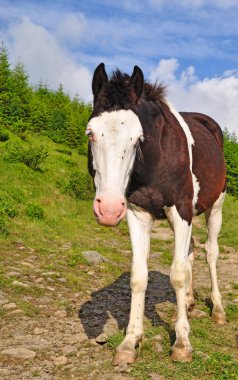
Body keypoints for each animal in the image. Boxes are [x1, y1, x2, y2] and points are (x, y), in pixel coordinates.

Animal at [86, 63, 227, 366]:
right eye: (90, 133)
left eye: (138, 138)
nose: (109, 208)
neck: (157, 158)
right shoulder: (138, 214)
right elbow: (139, 275)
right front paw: (130, 342)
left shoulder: (181, 210)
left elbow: (178, 274)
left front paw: (182, 343)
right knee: (190, 251)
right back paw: (187, 303)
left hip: (215, 207)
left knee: (210, 252)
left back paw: (218, 309)